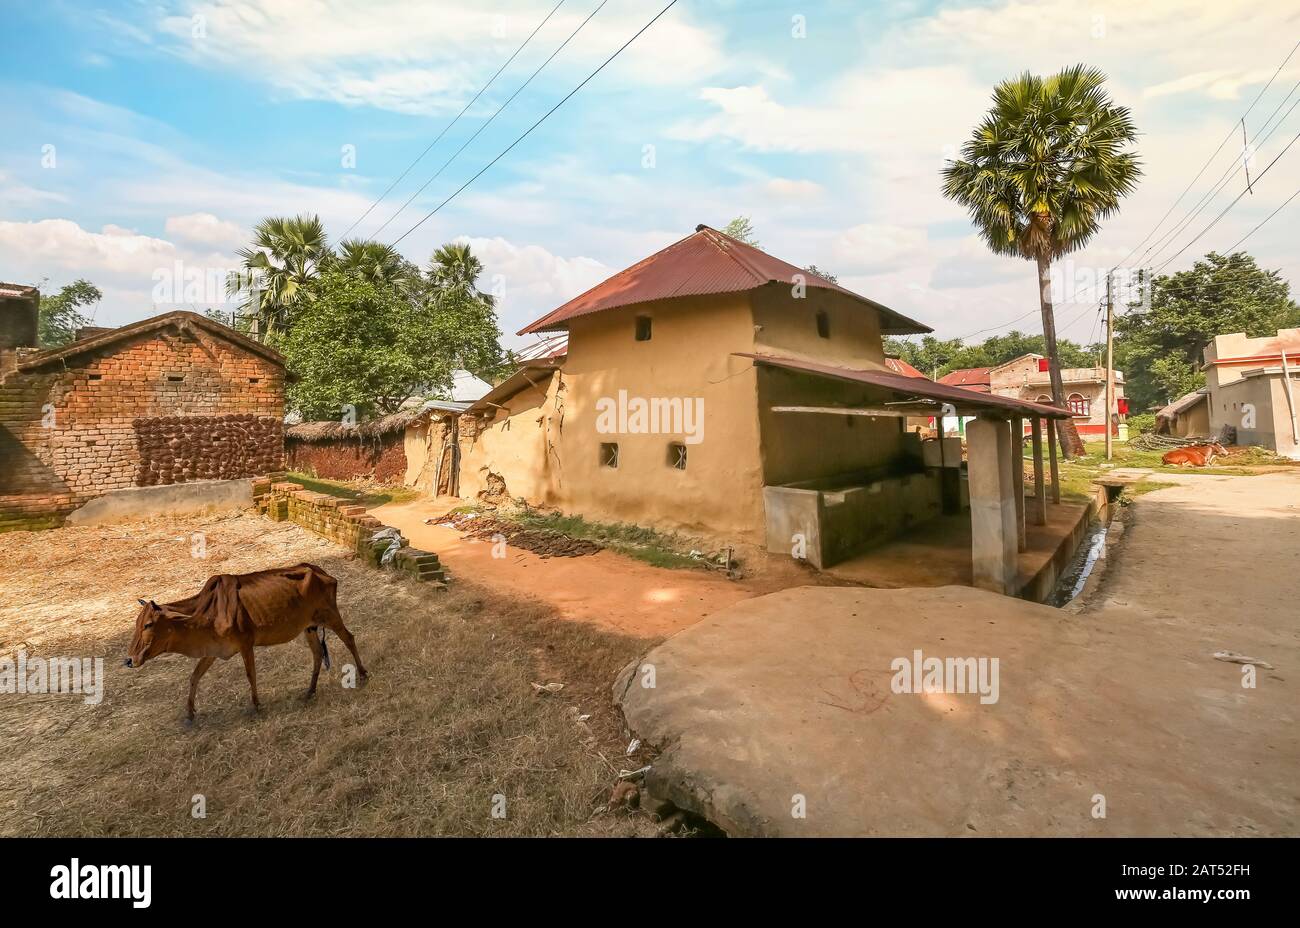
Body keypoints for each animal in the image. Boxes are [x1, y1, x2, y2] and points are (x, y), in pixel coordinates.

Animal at [124, 561, 366, 717]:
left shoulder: (245, 643)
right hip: (309, 627)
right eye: (136, 624)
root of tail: (320, 571)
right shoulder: (213, 651)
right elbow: (194, 676)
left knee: (349, 638)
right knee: (317, 654)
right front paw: (190, 712)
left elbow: (251, 675)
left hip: (330, 616)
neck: (207, 613)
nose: (129, 660)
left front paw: (256, 705)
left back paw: (362, 674)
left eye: (148, 624)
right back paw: (310, 691)